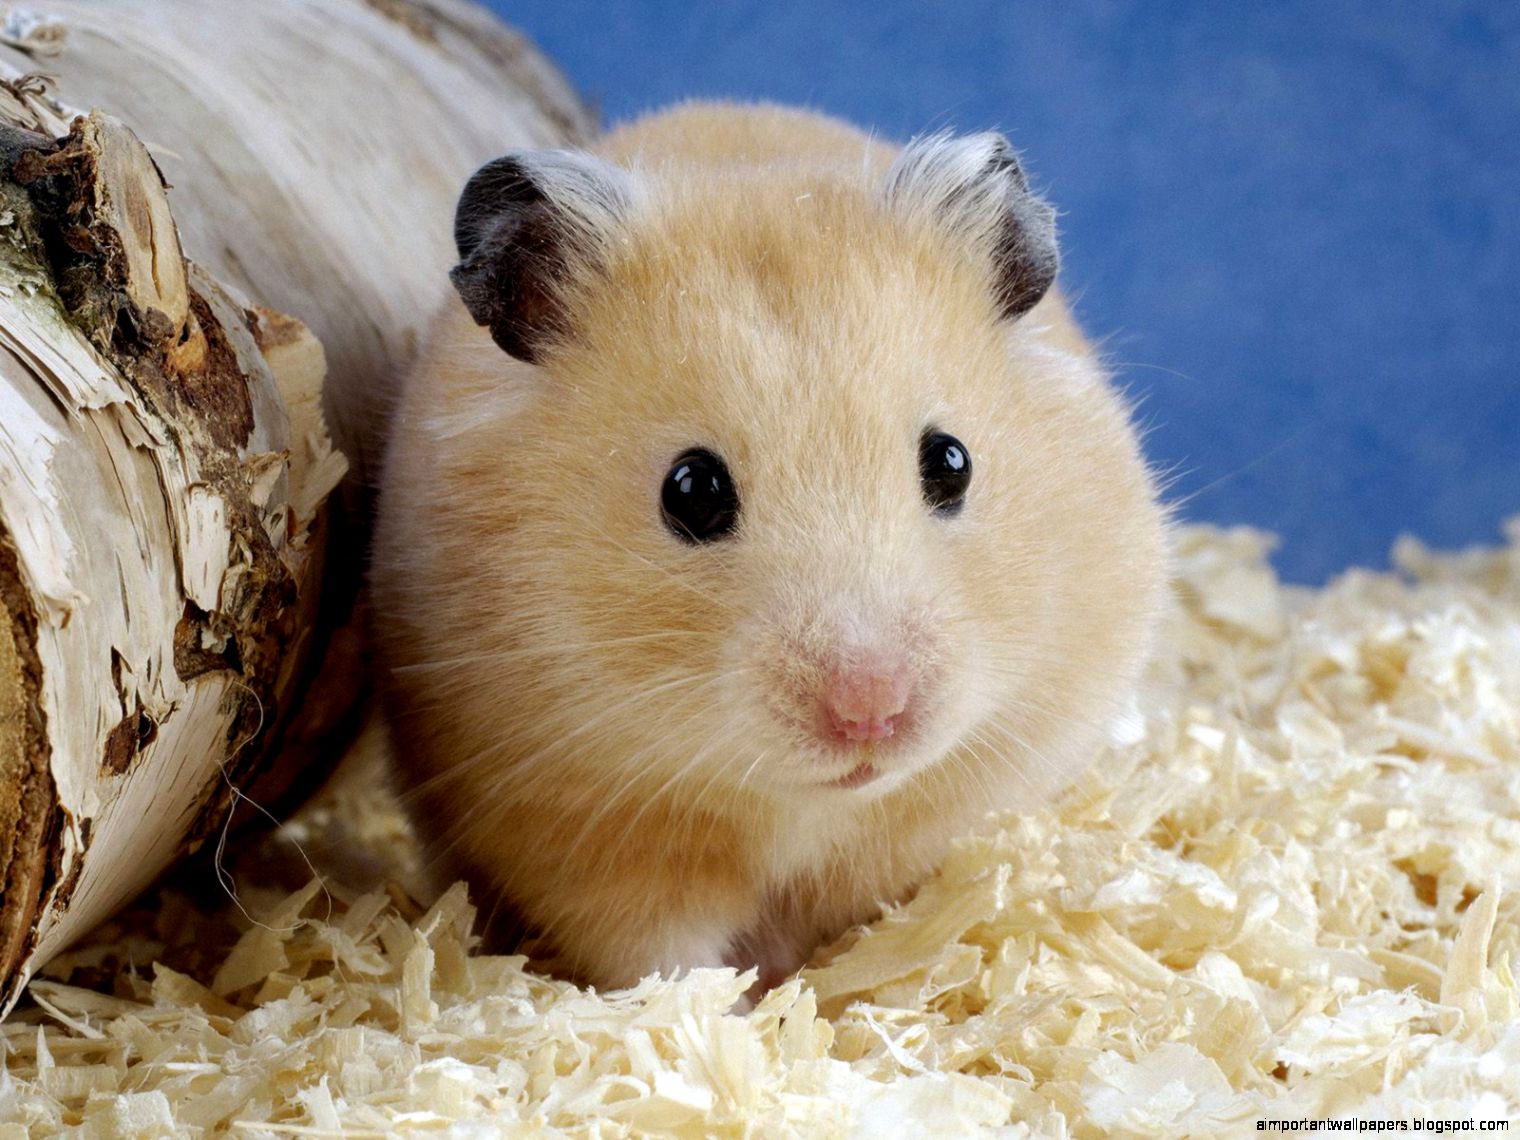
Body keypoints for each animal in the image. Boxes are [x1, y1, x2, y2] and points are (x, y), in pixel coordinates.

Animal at [370, 102, 1169, 992]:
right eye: (691, 491)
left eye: (952, 462)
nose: (871, 714)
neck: (804, 803)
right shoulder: (582, 830)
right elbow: (661, 955)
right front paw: (737, 1006)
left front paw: (824, 986)